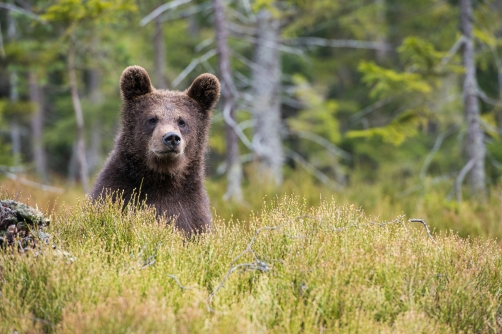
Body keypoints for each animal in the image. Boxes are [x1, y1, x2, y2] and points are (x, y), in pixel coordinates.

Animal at [90, 66, 220, 235]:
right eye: (152, 119)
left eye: (182, 121)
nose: (171, 138)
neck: (161, 177)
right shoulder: (116, 194)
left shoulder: (191, 211)